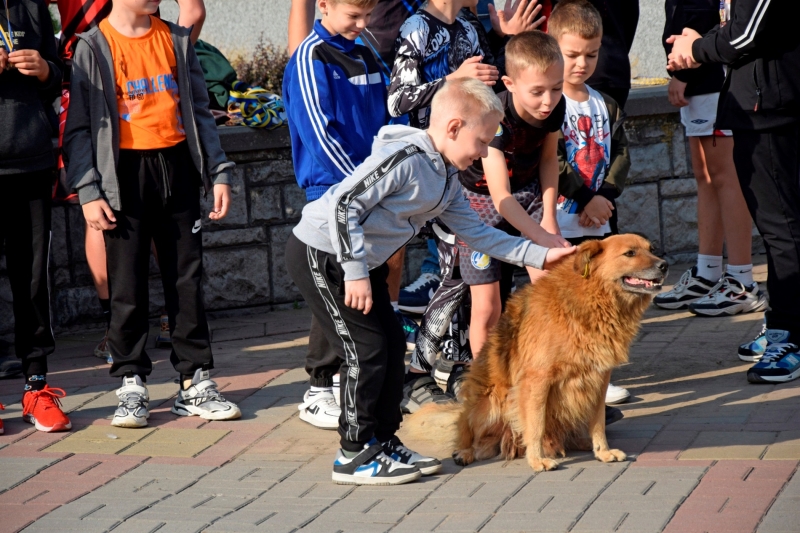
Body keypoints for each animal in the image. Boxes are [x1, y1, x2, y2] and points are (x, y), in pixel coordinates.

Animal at [406, 233, 668, 470]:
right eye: (630, 253)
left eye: (651, 249)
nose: (664, 265)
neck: (592, 299)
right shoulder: (537, 379)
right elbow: (535, 424)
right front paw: (537, 459)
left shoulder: (599, 378)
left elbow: (598, 421)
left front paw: (602, 451)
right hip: (491, 403)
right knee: (473, 435)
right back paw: (466, 452)